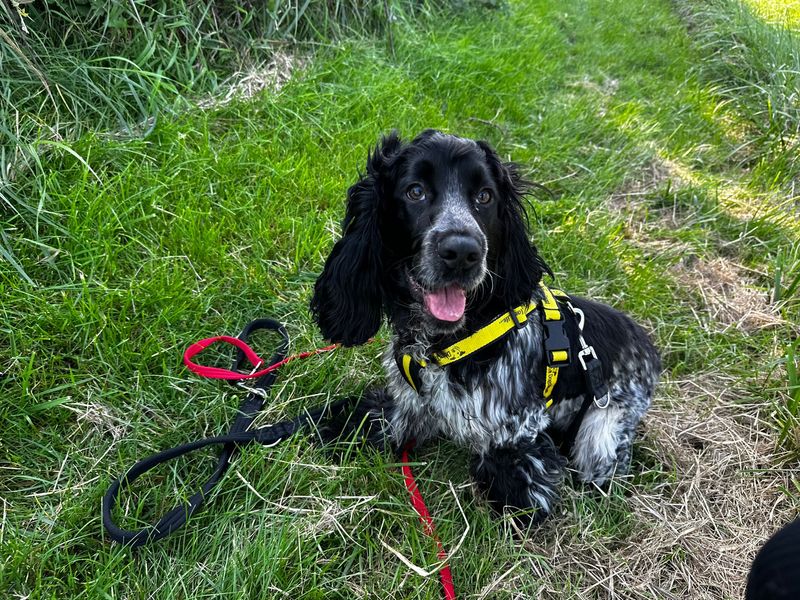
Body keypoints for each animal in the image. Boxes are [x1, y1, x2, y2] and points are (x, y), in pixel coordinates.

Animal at [310, 131, 660, 524]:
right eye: (415, 191)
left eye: (484, 196)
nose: (463, 252)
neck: (448, 342)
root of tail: (651, 349)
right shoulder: (409, 405)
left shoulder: (517, 430)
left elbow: (516, 477)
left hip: (602, 437)